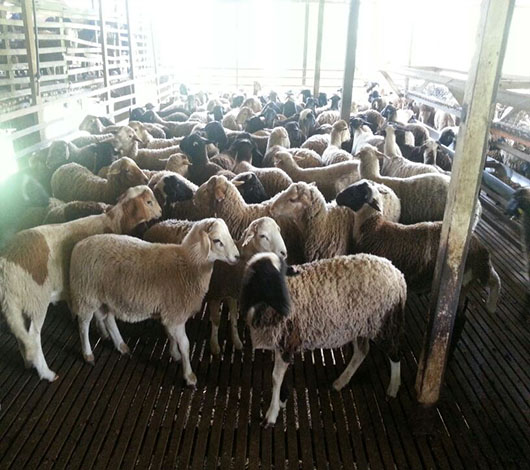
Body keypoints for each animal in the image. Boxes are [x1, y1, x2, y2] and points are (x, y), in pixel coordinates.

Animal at [0, 186, 162, 381]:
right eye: (149, 202)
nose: (161, 212)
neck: (113, 223)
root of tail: (5, 266)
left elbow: (99, 315)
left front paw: (103, 333)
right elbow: (105, 316)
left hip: (16, 306)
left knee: (22, 336)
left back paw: (28, 363)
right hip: (36, 301)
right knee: (33, 337)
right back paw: (47, 373)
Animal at [70, 218, 239, 386]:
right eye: (217, 241)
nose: (237, 256)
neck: (188, 265)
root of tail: (79, 245)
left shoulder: (169, 312)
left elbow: (171, 335)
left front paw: (174, 354)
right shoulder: (176, 313)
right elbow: (185, 345)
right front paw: (189, 376)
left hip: (106, 296)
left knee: (109, 319)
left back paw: (122, 346)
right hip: (86, 295)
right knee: (83, 325)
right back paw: (88, 355)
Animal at [145, 217, 286, 354]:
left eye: (279, 230)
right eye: (263, 236)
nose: (284, 253)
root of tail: (156, 225)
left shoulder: (231, 294)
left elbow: (233, 317)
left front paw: (237, 340)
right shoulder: (215, 294)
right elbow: (216, 320)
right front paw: (215, 345)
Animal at [240, 252, 406, 426]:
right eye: (266, 278)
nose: (287, 308)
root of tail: (397, 274)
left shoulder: (287, 341)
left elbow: (275, 378)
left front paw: (272, 414)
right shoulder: (281, 342)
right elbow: (278, 377)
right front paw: (281, 401)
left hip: (384, 322)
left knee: (395, 354)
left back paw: (393, 388)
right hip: (359, 325)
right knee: (362, 351)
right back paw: (341, 382)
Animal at [336, 180, 500, 349]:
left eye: (355, 193)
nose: (337, 197)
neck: (372, 228)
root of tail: (478, 247)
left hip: (463, 282)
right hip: (466, 283)